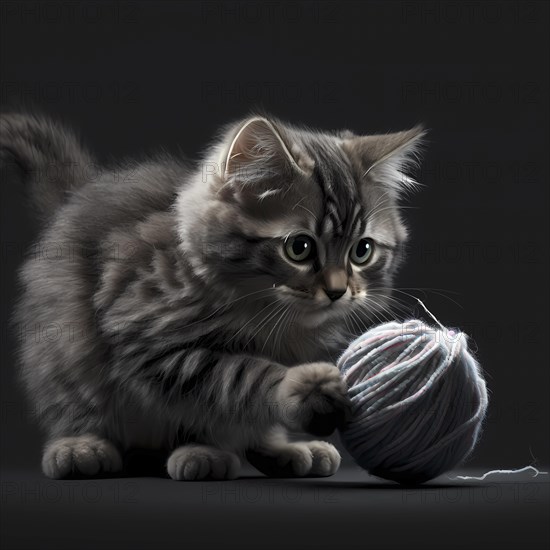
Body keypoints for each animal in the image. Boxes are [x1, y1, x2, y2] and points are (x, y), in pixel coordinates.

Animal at [1, 113, 426, 484]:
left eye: (362, 251)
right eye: (300, 248)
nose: (338, 291)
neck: (275, 321)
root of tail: (76, 198)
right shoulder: (147, 336)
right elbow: (238, 376)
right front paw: (295, 389)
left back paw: (283, 451)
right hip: (65, 347)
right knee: (76, 403)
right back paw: (83, 446)